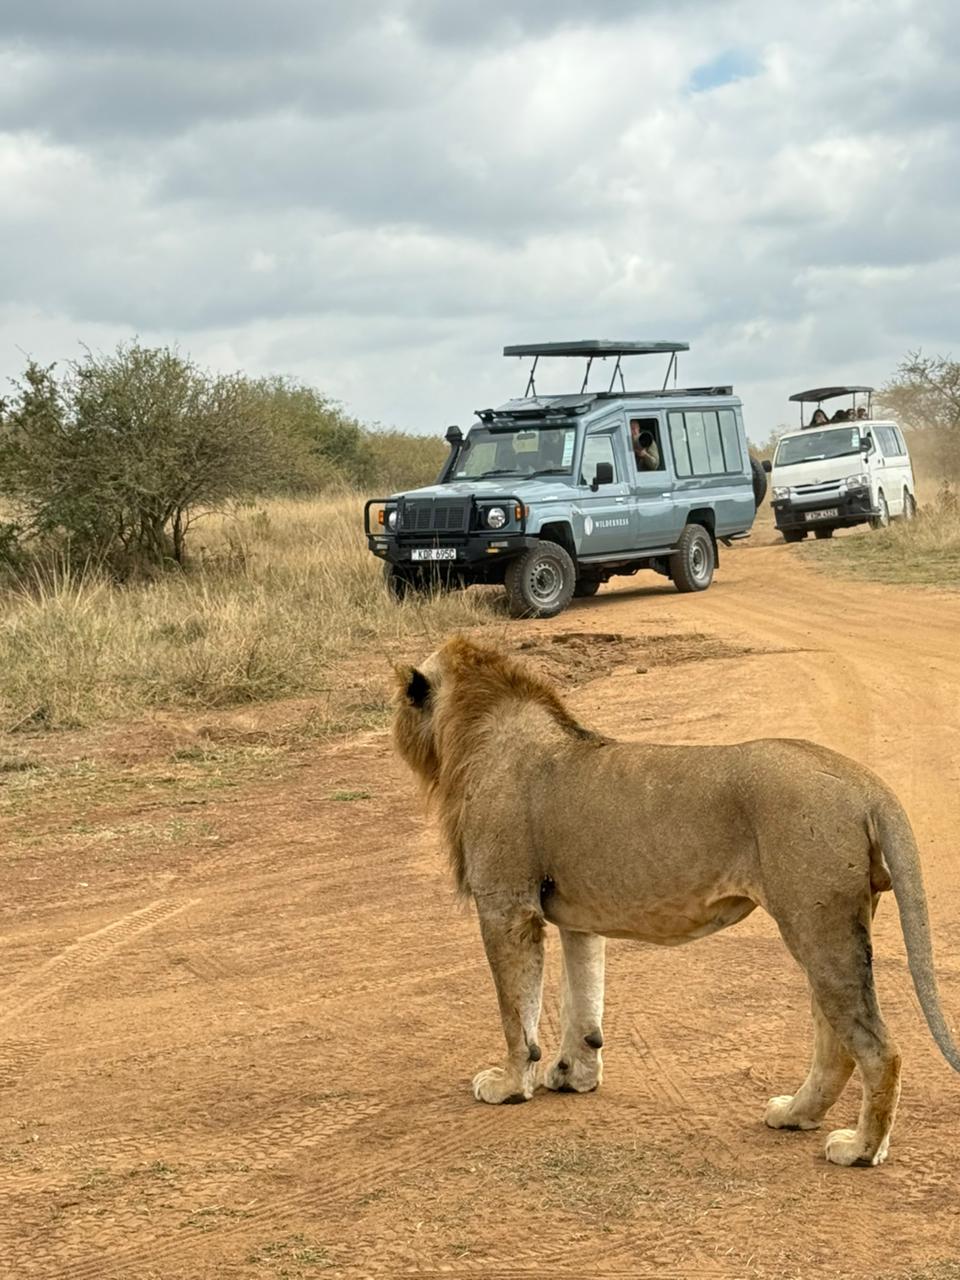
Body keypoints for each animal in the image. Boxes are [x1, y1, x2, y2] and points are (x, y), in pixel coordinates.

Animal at [392, 635, 960, 1168]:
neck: (474, 734)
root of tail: (867, 783)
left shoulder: (507, 906)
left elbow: (517, 1012)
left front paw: (510, 1084)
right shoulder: (577, 918)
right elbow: (582, 1001)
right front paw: (574, 1075)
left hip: (817, 925)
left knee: (878, 1049)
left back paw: (861, 1148)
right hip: (830, 925)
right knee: (836, 1043)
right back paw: (795, 1115)